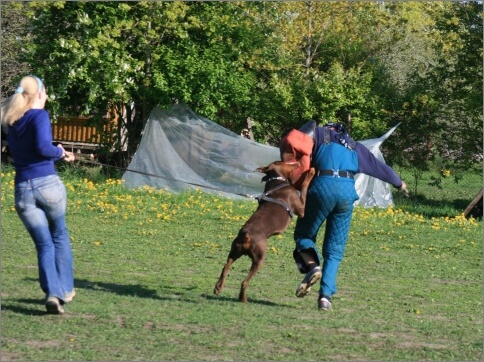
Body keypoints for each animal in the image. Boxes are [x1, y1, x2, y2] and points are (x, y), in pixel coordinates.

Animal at [214, 161, 316, 302]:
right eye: (283, 162)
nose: (297, 162)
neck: (277, 181)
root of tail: (246, 236)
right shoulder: (300, 208)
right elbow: (305, 188)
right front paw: (310, 173)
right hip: (259, 259)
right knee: (244, 282)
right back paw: (243, 298)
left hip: (235, 251)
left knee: (225, 267)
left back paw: (218, 288)